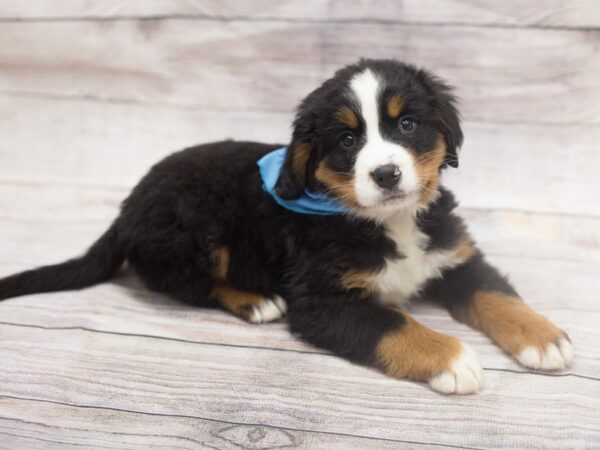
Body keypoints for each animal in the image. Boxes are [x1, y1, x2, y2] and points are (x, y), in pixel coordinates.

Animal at [0, 59, 572, 394]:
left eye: (406, 124)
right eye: (347, 140)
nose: (386, 174)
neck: (388, 221)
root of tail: (127, 205)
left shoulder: (453, 255)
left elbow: (495, 294)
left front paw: (543, 338)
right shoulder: (321, 302)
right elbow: (393, 324)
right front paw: (453, 358)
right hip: (193, 230)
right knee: (186, 283)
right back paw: (255, 301)